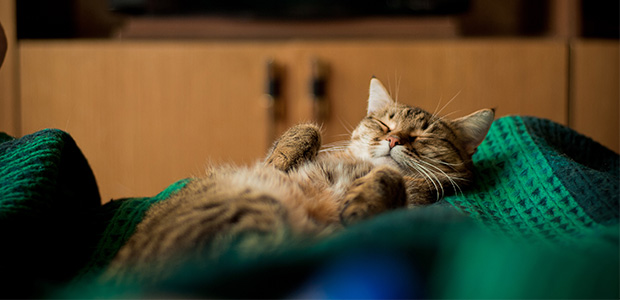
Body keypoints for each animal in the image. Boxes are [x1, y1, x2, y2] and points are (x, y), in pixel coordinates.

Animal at [105, 78, 494, 284]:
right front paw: (282, 159)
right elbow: (304, 130)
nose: (394, 140)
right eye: (384, 123)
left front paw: (365, 198)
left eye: (426, 135)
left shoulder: (413, 199)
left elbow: (393, 179)